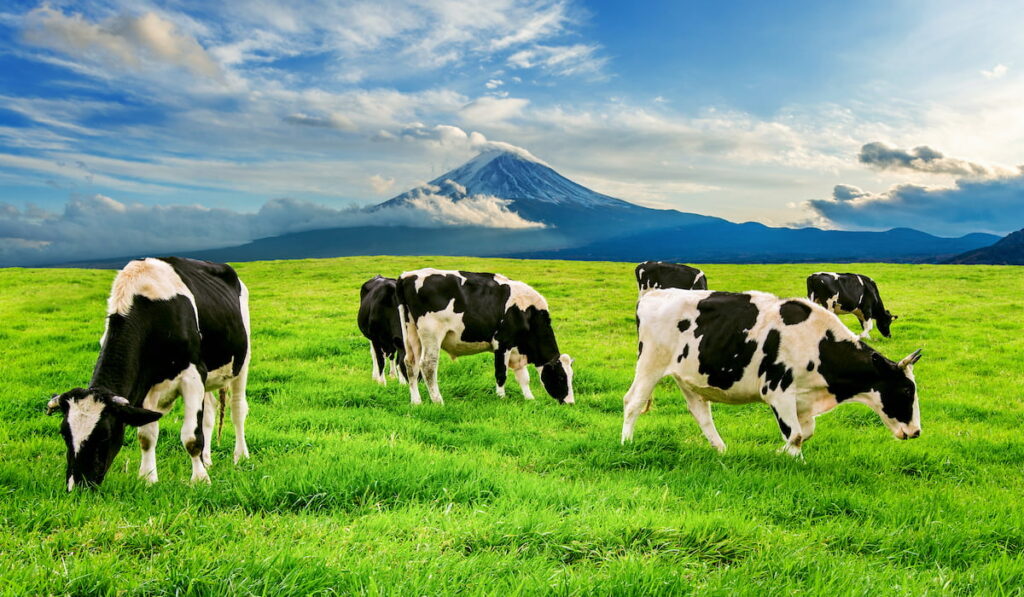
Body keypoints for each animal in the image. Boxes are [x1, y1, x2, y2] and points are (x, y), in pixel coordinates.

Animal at [43, 257, 251, 491]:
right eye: (64, 433)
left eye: (104, 435)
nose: (77, 486)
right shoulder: (145, 385)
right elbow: (146, 435)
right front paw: (147, 478)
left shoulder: (193, 373)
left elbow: (191, 437)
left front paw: (200, 480)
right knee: (210, 412)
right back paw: (206, 460)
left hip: (242, 361)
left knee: (237, 409)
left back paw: (240, 456)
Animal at [395, 270, 577, 405]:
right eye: (561, 377)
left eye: (571, 376)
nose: (570, 403)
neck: (528, 313)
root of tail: (407, 276)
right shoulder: (502, 343)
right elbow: (501, 373)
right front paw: (501, 397)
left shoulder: (517, 349)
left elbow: (524, 377)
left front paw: (529, 398)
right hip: (431, 333)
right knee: (427, 365)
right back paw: (438, 401)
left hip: (411, 332)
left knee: (410, 363)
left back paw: (416, 401)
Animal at [618, 288, 925, 458]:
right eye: (906, 389)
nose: (917, 431)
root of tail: (653, 295)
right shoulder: (778, 391)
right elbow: (797, 434)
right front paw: (792, 459)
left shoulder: (803, 399)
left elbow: (805, 432)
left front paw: (781, 453)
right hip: (651, 362)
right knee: (633, 402)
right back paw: (626, 442)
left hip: (689, 377)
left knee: (701, 413)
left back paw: (721, 450)